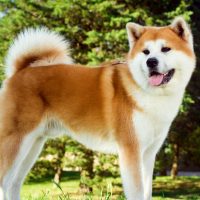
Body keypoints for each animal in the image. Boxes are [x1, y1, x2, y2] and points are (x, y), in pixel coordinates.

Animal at [0, 17, 196, 200]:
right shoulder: (131, 150)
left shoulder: (148, 154)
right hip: (16, 141)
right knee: (5, 181)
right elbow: (137, 192)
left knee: (14, 183)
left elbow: (147, 192)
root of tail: (18, 72)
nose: (151, 62)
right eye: (145, 52)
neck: (147, 92)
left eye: (166, 49)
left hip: (33, 144)